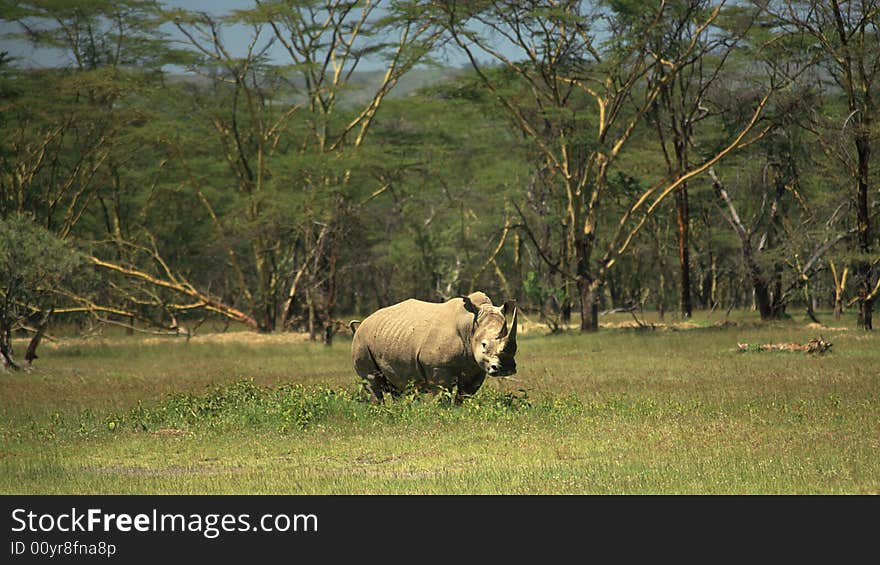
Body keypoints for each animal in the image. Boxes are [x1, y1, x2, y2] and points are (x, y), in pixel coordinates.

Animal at [348, 290, 520, 400]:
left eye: (515, 348)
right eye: (484, 345)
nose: (506, 368)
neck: (470, 328)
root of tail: (364, 321)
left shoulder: (476, 368)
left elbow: (463, 396)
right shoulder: (438, 368)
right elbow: (443, 396)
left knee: (397, 386)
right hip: (362, 340)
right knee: (372, 381)